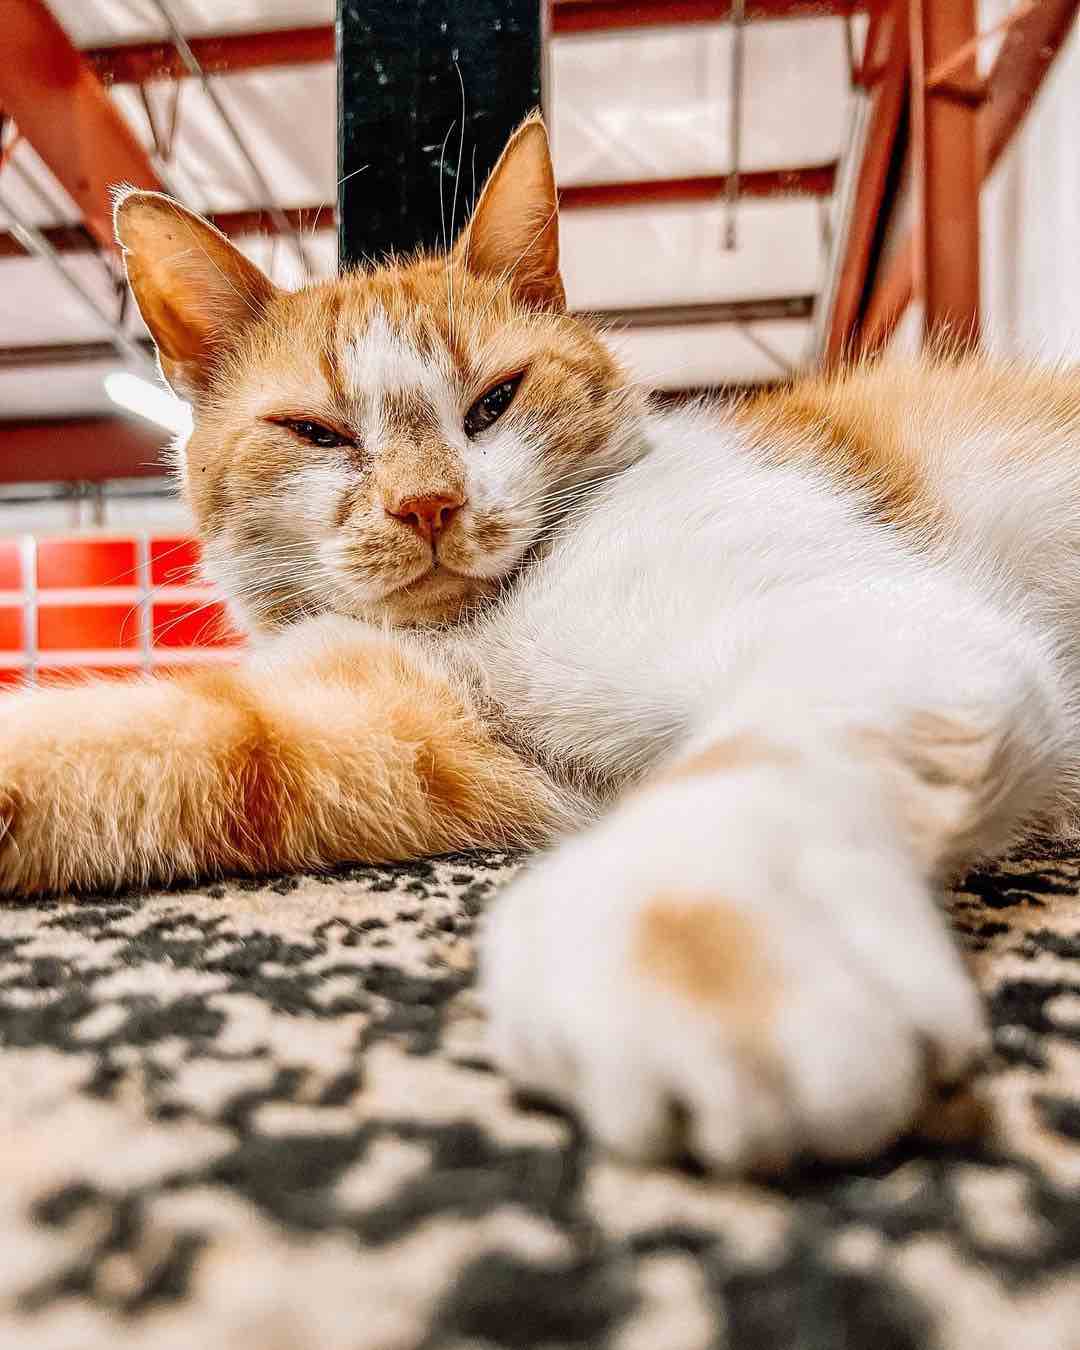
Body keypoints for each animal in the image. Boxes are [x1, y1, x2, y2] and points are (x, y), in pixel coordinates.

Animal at [2, 116, 1080, 1171]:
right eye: (316, 433)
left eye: (495, 401)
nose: (427, 504)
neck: (480, 632)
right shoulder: (409, 735)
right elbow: (151, 741)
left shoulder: (875, 612)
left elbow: (766, 762)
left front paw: (708, 945)